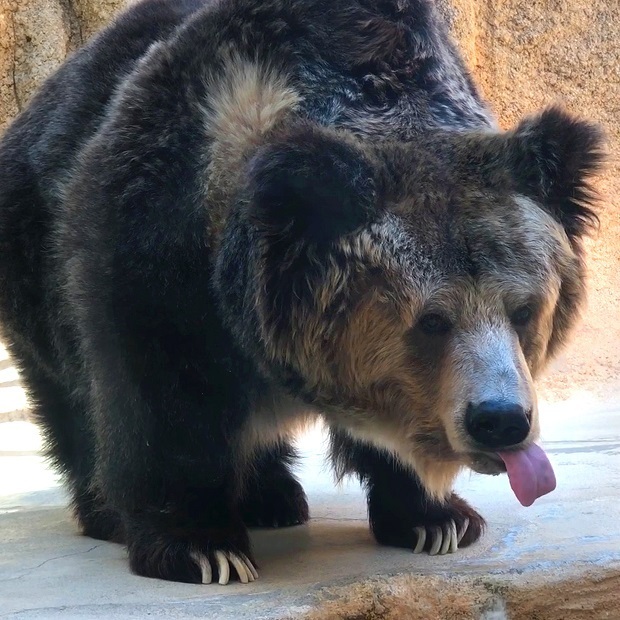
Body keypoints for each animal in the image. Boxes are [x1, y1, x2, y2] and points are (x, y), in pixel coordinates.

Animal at [0, 0, 604, 584]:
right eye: (432, 320)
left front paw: (438, 519)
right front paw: (202, 548)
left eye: (524, 311)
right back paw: (111, 512)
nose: (501, 421)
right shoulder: (155, 239)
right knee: (73, 398)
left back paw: (272, 498)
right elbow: (159, 392)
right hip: (34, 263)